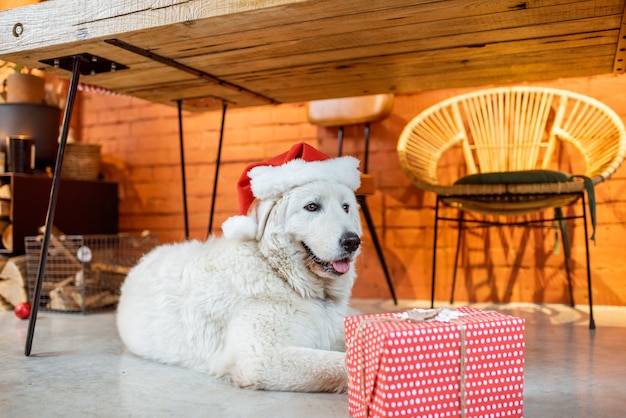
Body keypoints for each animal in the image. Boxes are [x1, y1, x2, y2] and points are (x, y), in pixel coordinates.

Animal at [117, 144, 360, 392]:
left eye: (346, 207)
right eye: (311, 206)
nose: (353, 241)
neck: (279, 273)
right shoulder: (263, 357)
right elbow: (341, 363)